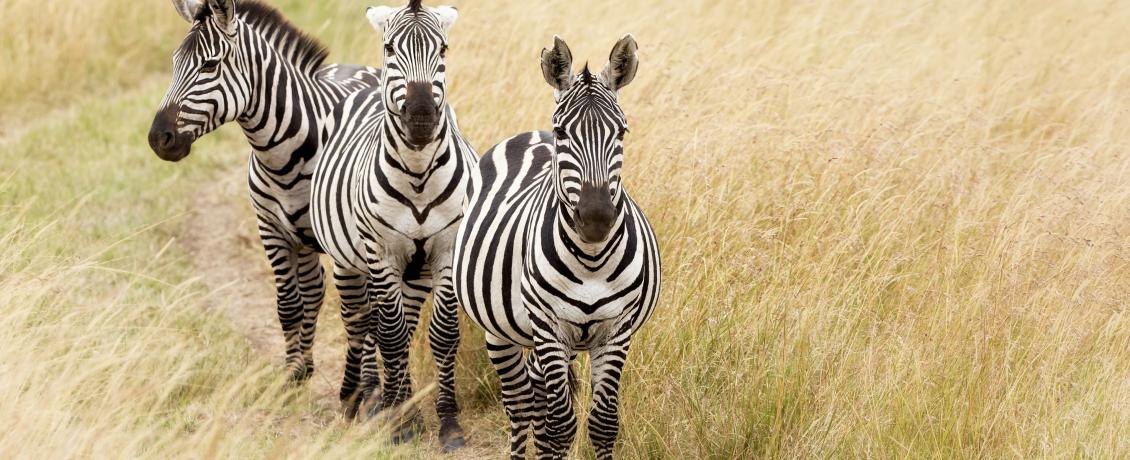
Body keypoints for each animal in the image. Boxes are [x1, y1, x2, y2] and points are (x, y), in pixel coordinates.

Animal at [146, 0, 383, 416]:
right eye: (174, 62)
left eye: (210, 65)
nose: (159, 139)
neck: (283, 155)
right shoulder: (270, 229)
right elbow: (288, 304)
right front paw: (291, 377)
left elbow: (358, 311)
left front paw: (356, 395)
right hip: (302, 239)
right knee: (315, 289)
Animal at [309, 0, 474, 450]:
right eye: (390, 48)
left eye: (443, 49)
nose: (420, 118)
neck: (417, 174)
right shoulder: (381, 253)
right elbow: (392, 335)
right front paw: (400, 424)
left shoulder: (447, 249)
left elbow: (441, 333)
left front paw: (447, 424)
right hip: (351, 262)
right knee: (363, 322)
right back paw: (361, 400)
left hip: (413, 273)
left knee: (395, 322)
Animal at [452, 34, 661, 459]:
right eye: (563, 133)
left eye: (622, 133)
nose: (596, 219)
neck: (592, 261)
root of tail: (533, 134)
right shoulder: (549, 328)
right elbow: (561, 425)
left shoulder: (617, 331)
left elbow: (602, 424)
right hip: (502, 332)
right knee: (520, 406)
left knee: (536, 401)